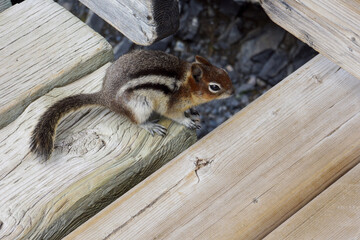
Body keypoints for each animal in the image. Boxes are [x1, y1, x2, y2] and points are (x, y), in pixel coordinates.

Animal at [30, 50, 233, 159]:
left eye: (223, 70)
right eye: (214, 87)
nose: (233, 91)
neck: (187, 85)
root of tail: (106, 96)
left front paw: (192, 111)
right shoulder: (172, 105)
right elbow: (174, 115)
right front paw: (187, 121)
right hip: (140, 106)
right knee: (137, 121)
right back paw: (150, 125)